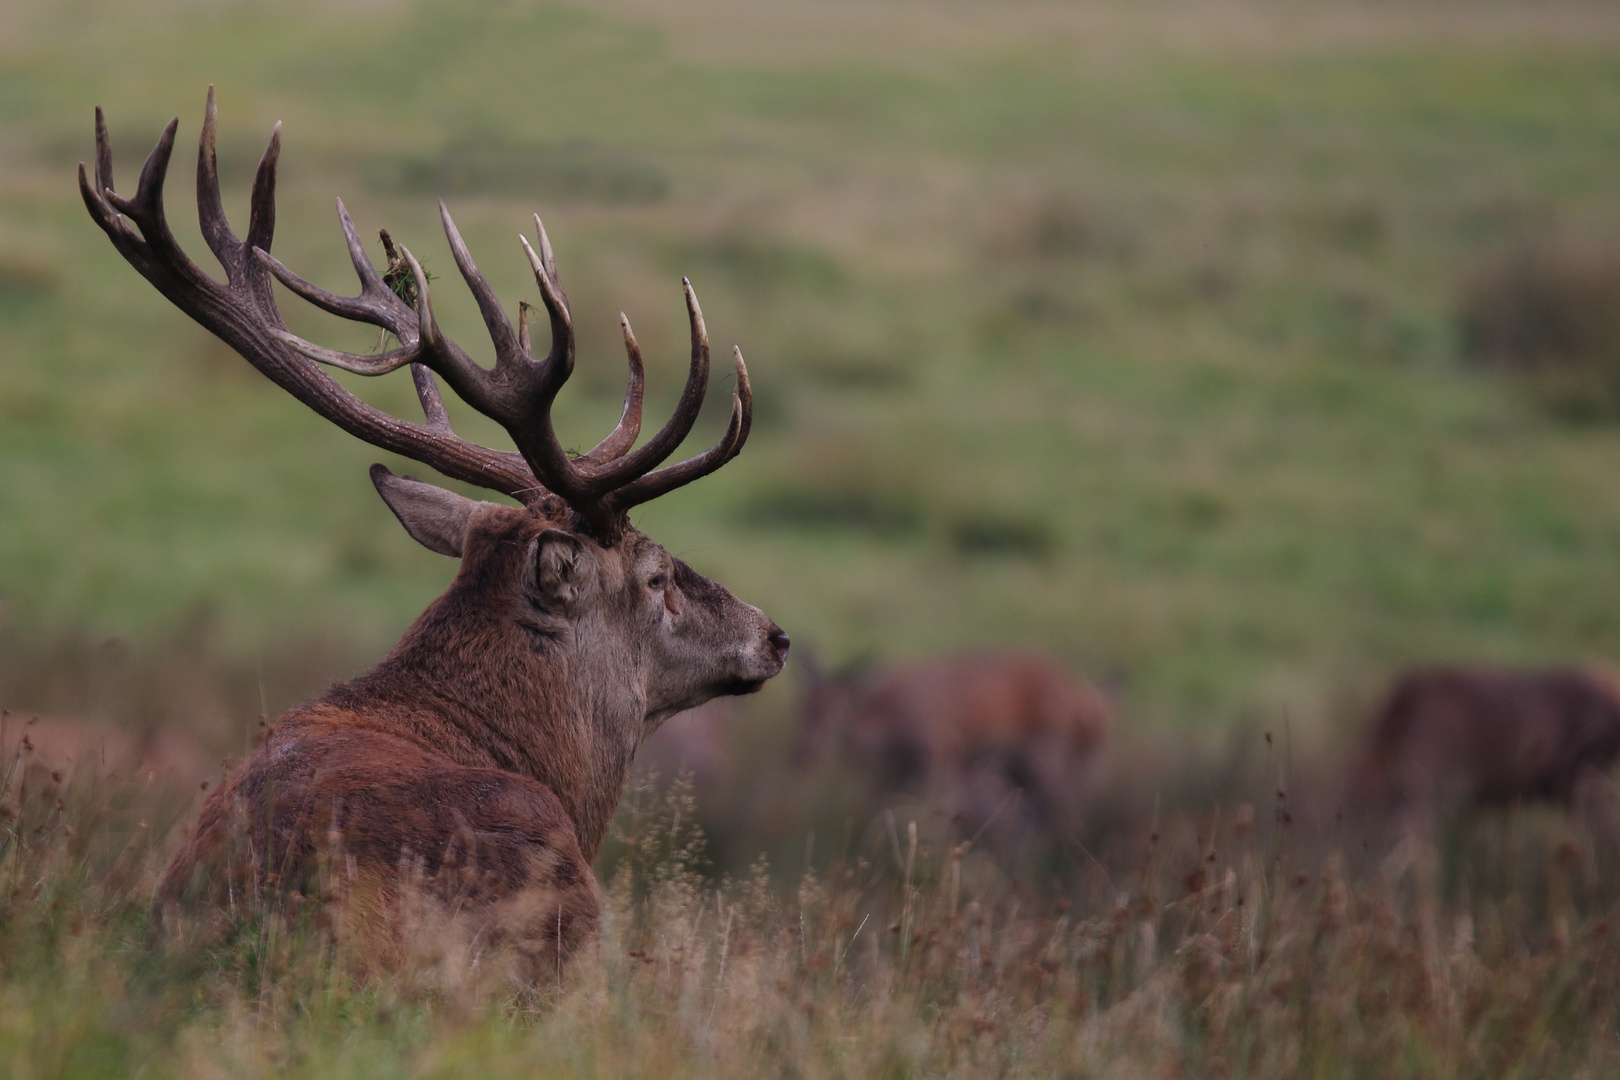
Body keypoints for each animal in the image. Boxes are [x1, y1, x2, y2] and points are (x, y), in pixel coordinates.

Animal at [790, 650, 1108, 841]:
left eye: (837, 712)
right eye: (803, 708)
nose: (802, 753)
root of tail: (1088, 704)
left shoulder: (938, 752)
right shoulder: (890, 775)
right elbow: (879, 811)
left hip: (1046, 749)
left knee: (1062, 805)